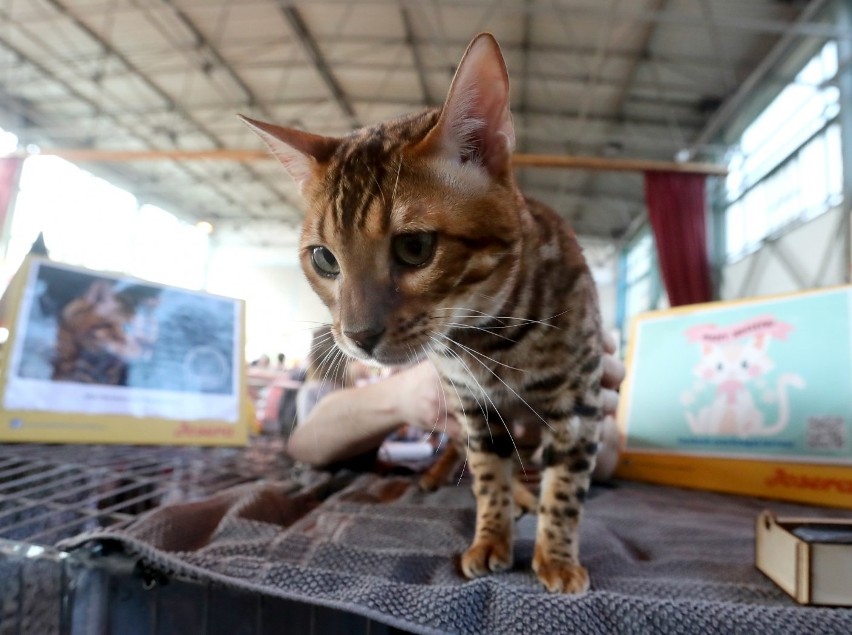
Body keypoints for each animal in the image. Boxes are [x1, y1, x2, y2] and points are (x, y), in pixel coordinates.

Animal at [241, 32, 604, 592]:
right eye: (324, 258)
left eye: (415, 248)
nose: (357, 335)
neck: (490, 339)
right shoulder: (473, 406)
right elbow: (487, 477)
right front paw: (490, 536)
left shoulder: (580, 400)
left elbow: (565, 487)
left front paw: (558, 556)